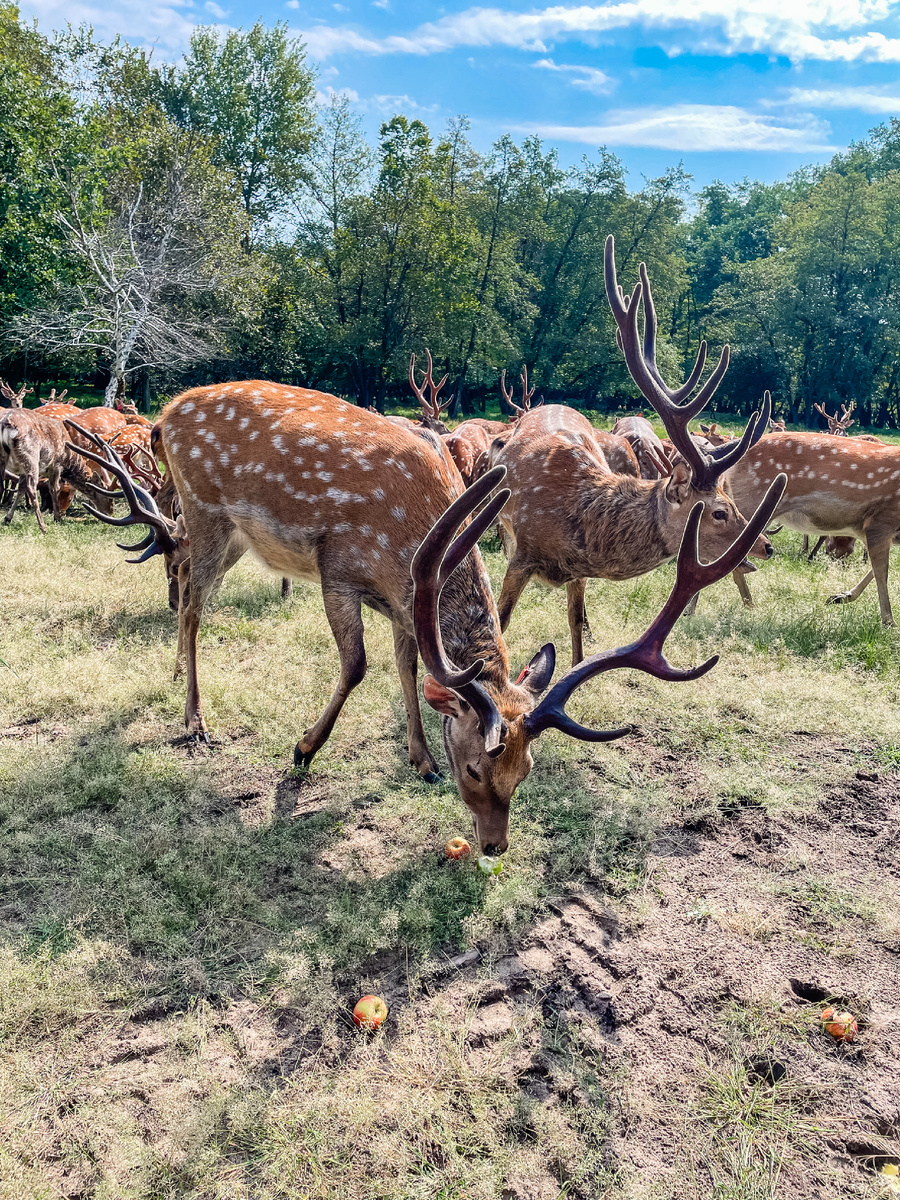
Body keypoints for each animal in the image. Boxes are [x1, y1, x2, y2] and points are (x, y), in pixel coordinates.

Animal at [68, 376, 782, 854]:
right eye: (476, 769)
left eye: (526, 772)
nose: (494, 845)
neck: (411, 538)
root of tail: (163, 416)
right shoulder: (340, 567)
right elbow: (357, 665)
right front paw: (304, 750)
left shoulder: (400, 599)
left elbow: (409, 666)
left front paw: (417, 757)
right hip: (207, 508)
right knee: (191, 601)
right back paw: (194, 719)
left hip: (227, 531)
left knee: (184, 580)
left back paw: (173, 683)